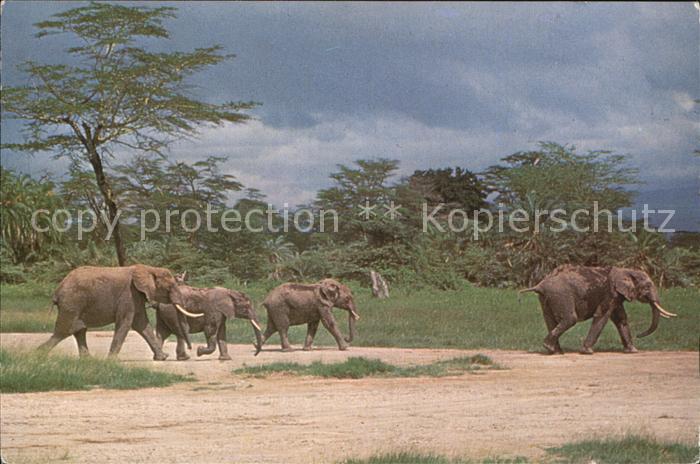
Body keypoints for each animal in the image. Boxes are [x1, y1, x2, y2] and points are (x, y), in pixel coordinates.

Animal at [38, 265, 199, 360]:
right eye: (170, 287)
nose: (192, 350)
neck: (149, 269)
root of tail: (57, 292)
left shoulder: (136, 297)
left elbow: (142, 325)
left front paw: (163, 357)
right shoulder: (128, 295)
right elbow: (126, 323)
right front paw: (111, 360)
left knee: (79, 330)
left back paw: (87, 360)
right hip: (71, 304)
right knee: (64, 331)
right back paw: (37, 355)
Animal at [521, 265, 677, 355]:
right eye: (647, 287)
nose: (639, 335)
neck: (626, 270)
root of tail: (540, 284)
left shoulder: (616, 296)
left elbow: (621, 318)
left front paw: (633, 351)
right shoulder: (610, 293)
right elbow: (602, 316)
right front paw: (588, 352)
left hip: (547, 297)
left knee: (550, 321)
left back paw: (555, 351)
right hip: (560, 295)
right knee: (570, 319)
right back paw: (550, 348)